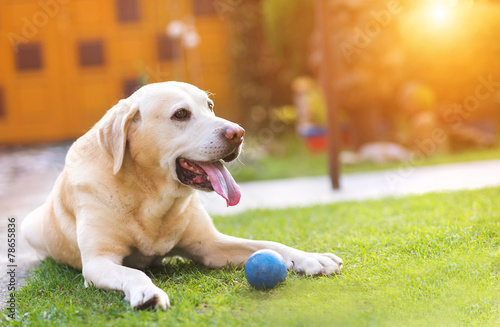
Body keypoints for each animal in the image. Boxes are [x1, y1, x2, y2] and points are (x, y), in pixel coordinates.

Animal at [23, 81, 344, 310]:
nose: (238, 133)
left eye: (210, 106)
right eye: (180, 114)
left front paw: (312, 258)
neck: (151, 197)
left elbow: (270, 244)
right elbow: (132, 273)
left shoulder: (211, 246)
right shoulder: (99, 262)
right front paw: (147, 292)